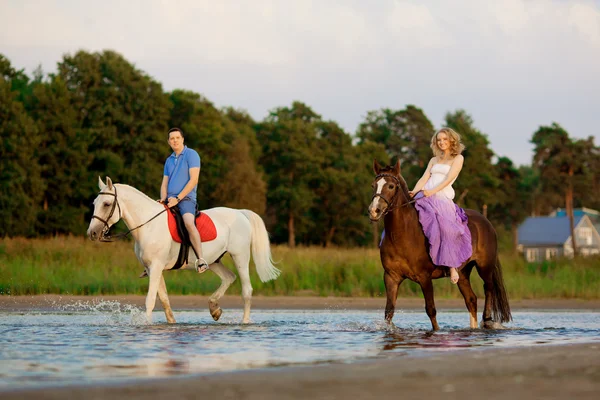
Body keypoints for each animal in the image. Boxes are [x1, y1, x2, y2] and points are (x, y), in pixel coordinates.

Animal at [86, 177, 282, 324]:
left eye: (106, 204)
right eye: (95, 203)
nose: (92, 233)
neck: (149, 225)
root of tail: (240, 213)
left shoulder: (156, 267)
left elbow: (150, 300)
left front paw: (146, 325)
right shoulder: (153, 269)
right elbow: (164, 300)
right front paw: (171, 324)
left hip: (240, 256)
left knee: (246, 290)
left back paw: (244, 322)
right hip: (213, 260)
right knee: (229, 277)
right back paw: (214, 309)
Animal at [368, 160, 512, 332]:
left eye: (391, 186)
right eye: (373, 185)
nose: (374, 211)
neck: (403, 234)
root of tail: (486, 222)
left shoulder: (424, 278)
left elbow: (431, 310)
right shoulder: (391, 277)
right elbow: (389, 311)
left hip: (485, 267)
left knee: (488, 288)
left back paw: (487, 320)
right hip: (463, 273)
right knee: (471, 299)